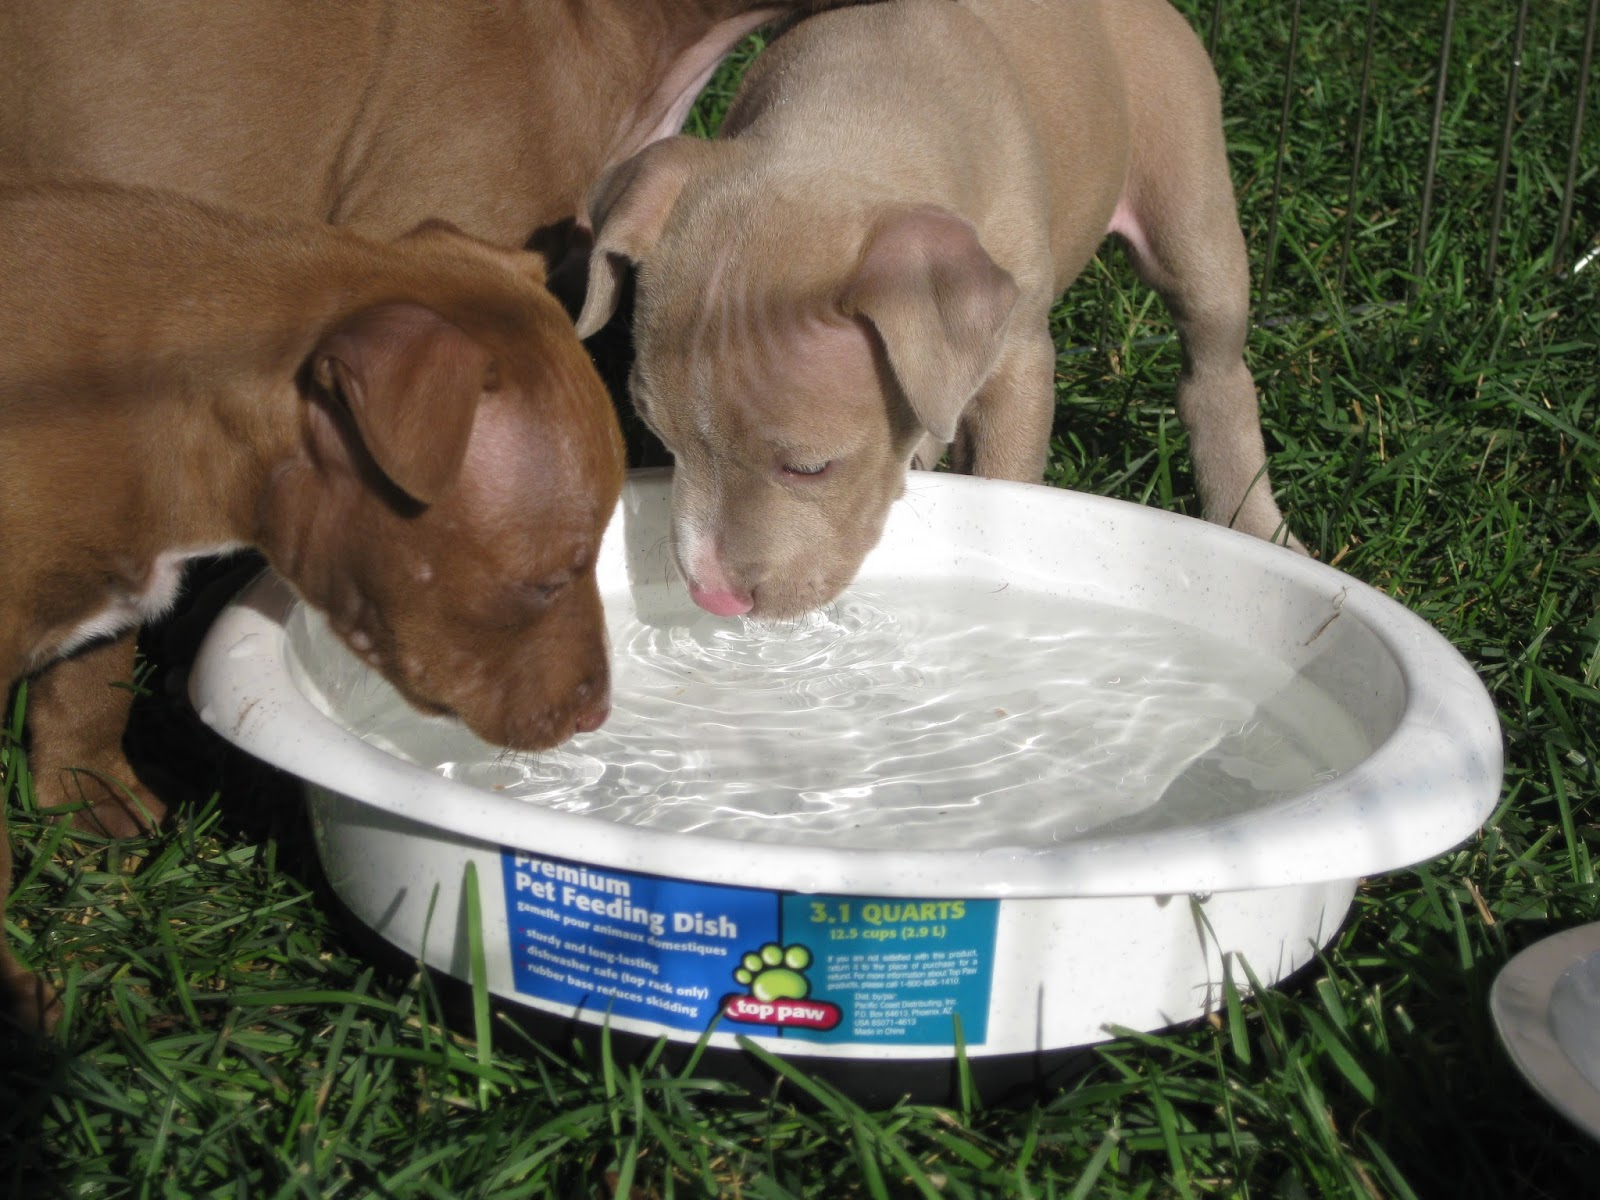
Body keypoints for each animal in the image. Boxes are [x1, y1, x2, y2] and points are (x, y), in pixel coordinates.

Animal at [1, 180, 624, 1036]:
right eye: (549, 581)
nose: (599, 712)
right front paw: (13, 1000)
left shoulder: (112, 580)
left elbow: (90, 683)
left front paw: (92, 798)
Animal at [576, 0, 1299, 620]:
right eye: (660, 437)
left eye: (810, 468)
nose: (715, 600)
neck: (858, 106)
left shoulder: (1016, 364)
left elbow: (1005, 482)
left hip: (1190, 201)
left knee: (1215, 373)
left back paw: (1256, 521)